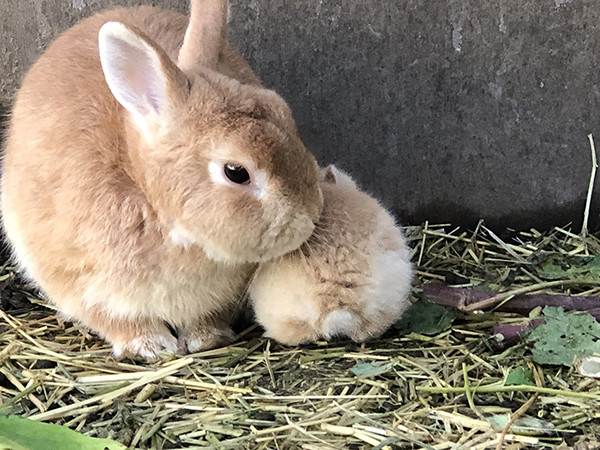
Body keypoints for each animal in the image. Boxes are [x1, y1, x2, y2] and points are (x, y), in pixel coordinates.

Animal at [1, 0, 324, 358]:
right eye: (236, 172)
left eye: (284, 112)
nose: (311, 215)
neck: (147, 195)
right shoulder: (78, 281)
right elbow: (116, 319)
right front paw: (151, 346)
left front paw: (207, 338)